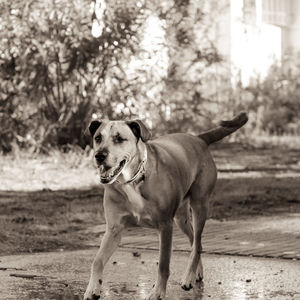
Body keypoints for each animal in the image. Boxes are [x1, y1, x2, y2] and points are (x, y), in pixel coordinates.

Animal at [83, 112, 247, 300]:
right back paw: (196, 272)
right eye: (98, 138)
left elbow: (163, 264)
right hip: (181, 218)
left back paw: (188, 277)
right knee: (194, 242)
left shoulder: (165, 226)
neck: (133, 180)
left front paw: (157, 292)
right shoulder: (114, 229)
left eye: (119, 139)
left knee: (197, 244)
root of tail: (199, 139)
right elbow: (97, 261)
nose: (99, 155)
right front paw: (92, 289)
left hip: (199, 206)